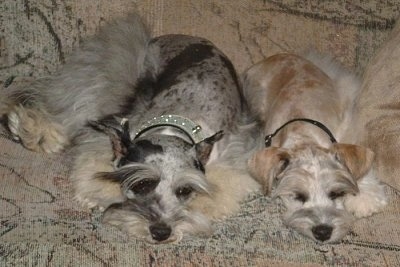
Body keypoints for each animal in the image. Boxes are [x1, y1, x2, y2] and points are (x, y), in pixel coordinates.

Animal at [244, 53, 388, 244]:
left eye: (336, 193)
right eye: (298, 196)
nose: (323, 232)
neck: (303, 136)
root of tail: (277, 56)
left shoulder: (343, 133)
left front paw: (365, 199)